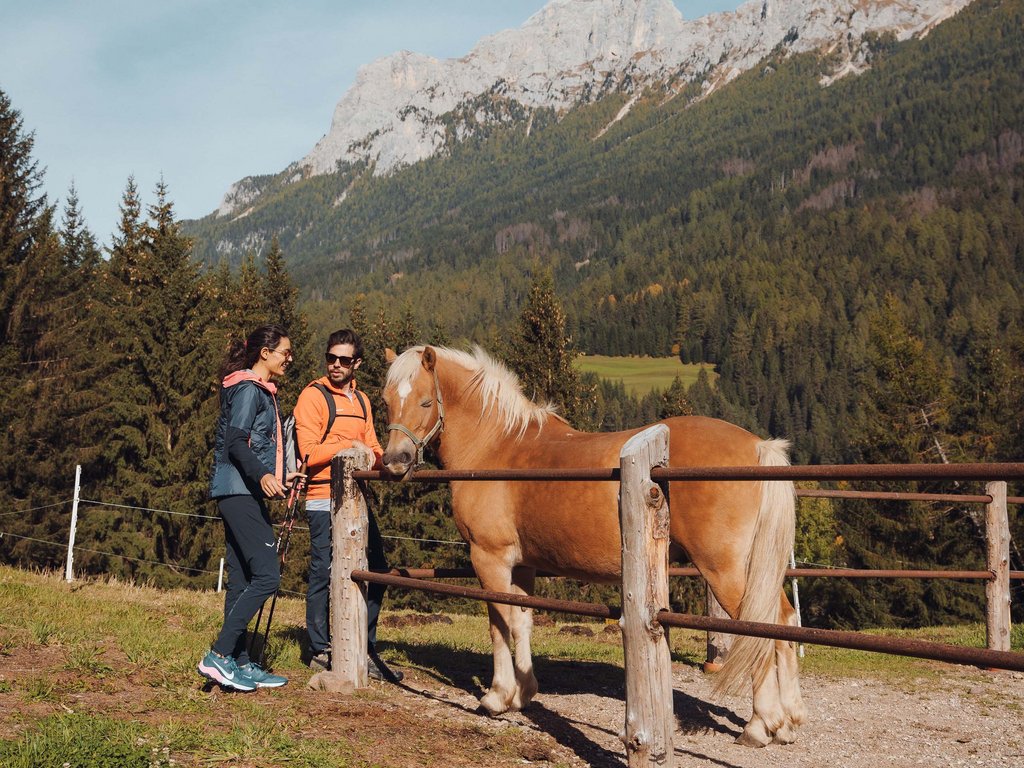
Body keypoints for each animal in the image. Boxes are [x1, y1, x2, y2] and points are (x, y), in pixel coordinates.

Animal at [381, 345, 805, 747]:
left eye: (425, 401)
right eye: (386, 400)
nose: (395, 461)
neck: (497, 446)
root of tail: (758, 447)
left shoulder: (490, 558)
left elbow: (498, 624)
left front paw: (497, 697)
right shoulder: (523, 565)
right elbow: (521, 622)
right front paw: (524, 692)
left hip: (725, 571)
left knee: (761, 627)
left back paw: (760, 725)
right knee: (785, 621)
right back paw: (787, 722)